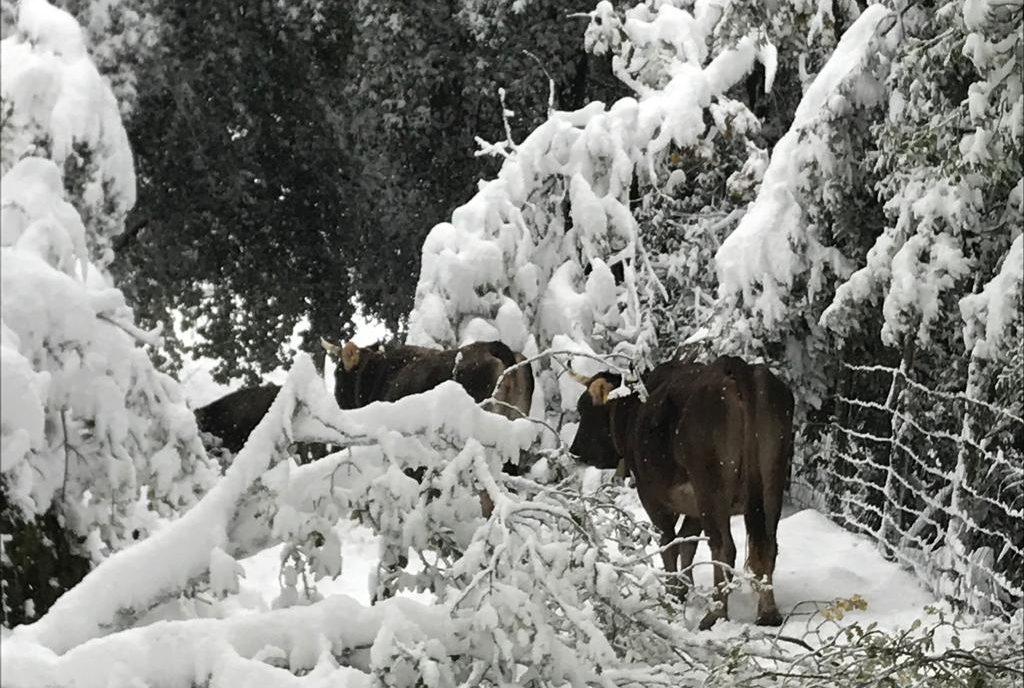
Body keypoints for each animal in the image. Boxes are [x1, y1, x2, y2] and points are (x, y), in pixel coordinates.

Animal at [569, 354, 790, 630]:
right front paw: (684, 589)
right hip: (771, 484)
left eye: (584, 408)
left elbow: (669, 542)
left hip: (711, 488)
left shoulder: (653, 497)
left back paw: (715, 615)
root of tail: (738, 368)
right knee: (767, 545)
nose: (575, 452)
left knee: (724, 548)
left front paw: (673, 592)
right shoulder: (693, 506)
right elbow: (687, 542)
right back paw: (768, 613)